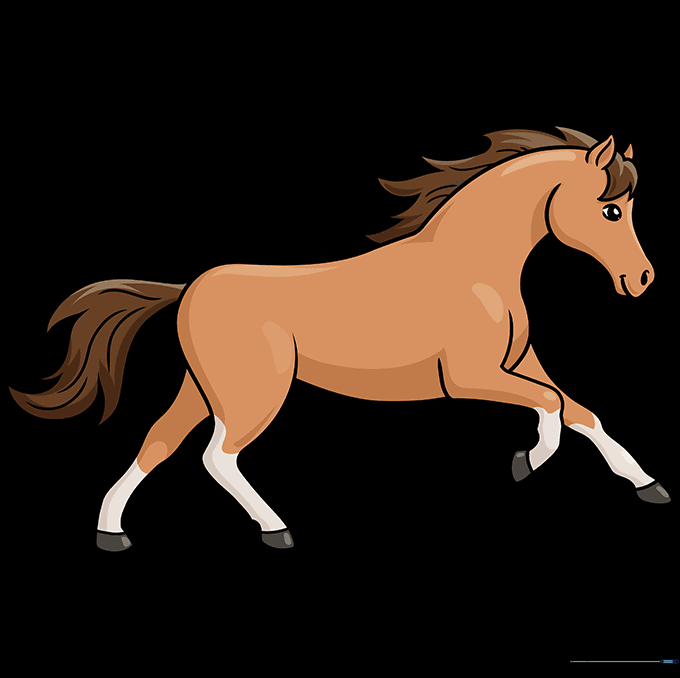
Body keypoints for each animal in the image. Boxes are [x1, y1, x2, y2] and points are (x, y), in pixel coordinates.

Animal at [9, 126, 671, 552]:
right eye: (612, 210)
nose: (641, 280)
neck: (475, 266)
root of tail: (189, 287)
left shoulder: (522, 363)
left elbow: (582, 411)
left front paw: (648, 486)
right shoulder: (469, 378)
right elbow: (553, 409)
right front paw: (524, 464)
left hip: (203, 389)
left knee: (159, 442)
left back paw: (111, 532)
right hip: (253, 394)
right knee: (217, 456)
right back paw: (276, 530)